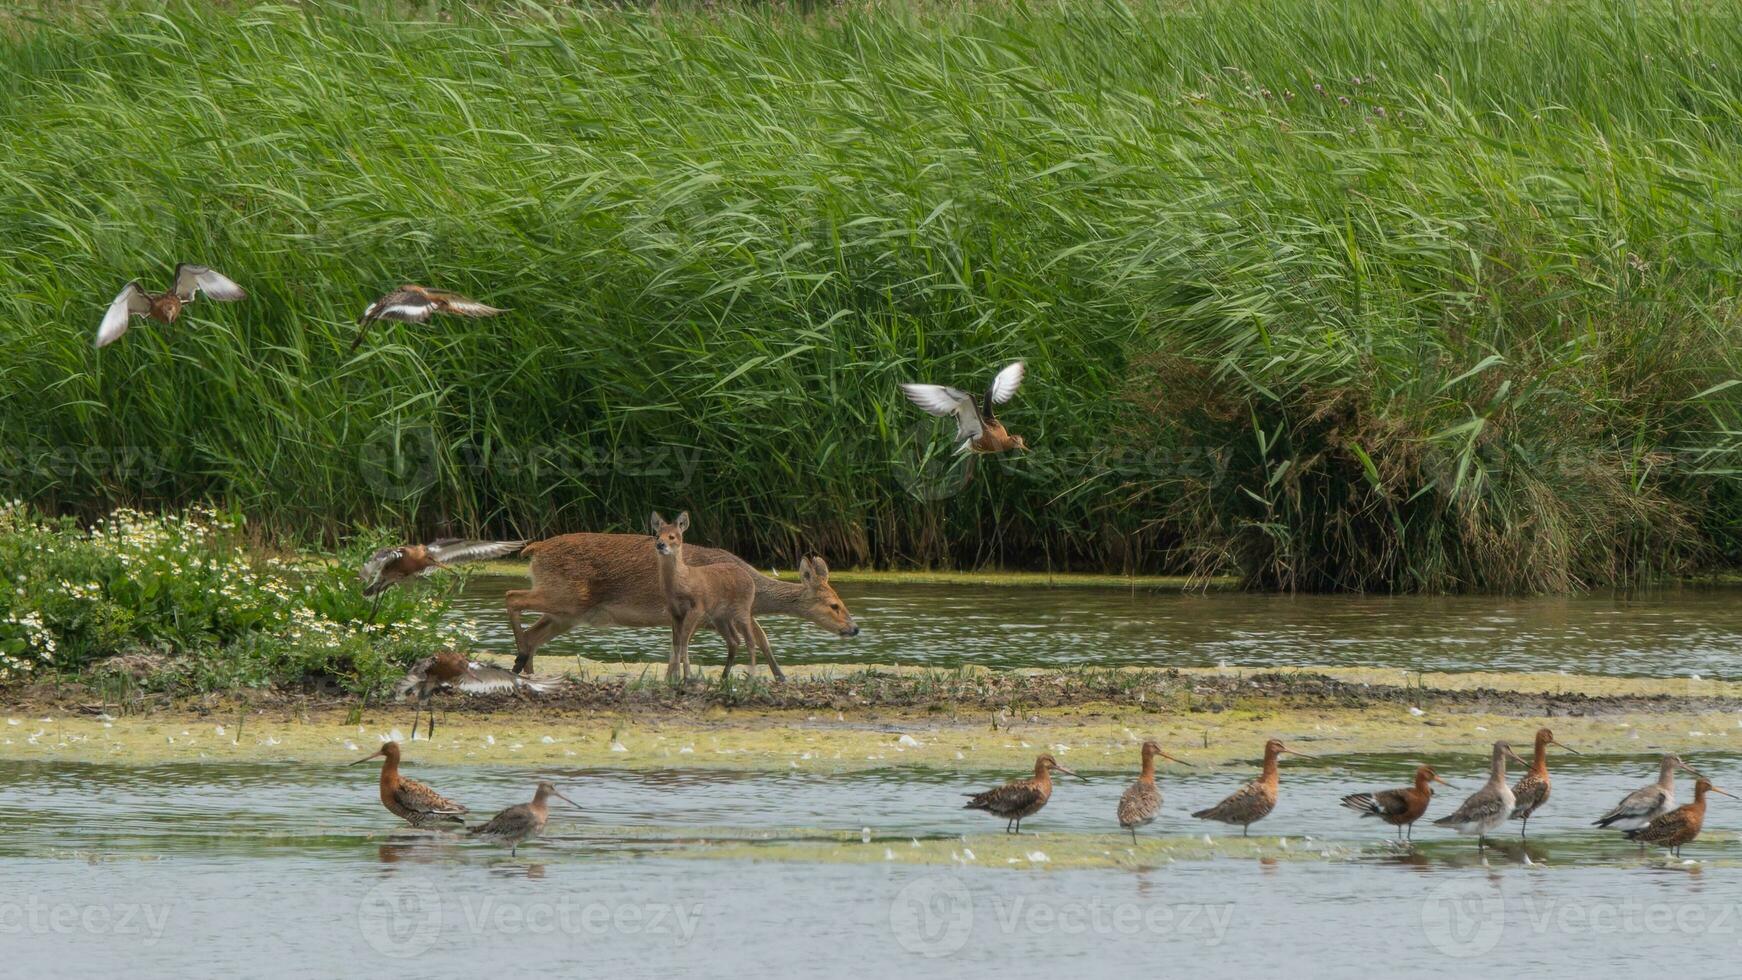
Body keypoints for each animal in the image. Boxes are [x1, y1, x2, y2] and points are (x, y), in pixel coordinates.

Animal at [505, 529, 857, 675]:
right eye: (834, 604)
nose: (854, 629)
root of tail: (534, 549)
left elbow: (762, 638)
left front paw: (780, 676)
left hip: (569, 612)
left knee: (534, 633)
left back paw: (526, 670)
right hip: (565, 595)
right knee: (512, 597)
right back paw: (519, 660)